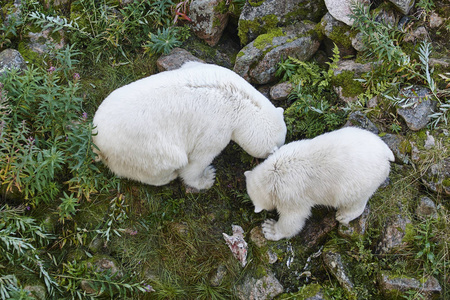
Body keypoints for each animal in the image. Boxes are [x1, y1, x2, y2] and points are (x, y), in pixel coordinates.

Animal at [93, 61, 286, 190]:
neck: (239, 100)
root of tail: (98, 143)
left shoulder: (210, 67)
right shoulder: (218, 128)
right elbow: (198, 159)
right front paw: (206, 178)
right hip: (143, 150)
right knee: (164, 163)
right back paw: (169, 176)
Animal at [244, 127, 396, 241]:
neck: (272, 173)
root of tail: (386, 153)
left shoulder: (288, 195)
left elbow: (294, 218)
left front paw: (269, 229)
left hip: (357, 183)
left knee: (354, 200)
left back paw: (343, 215)